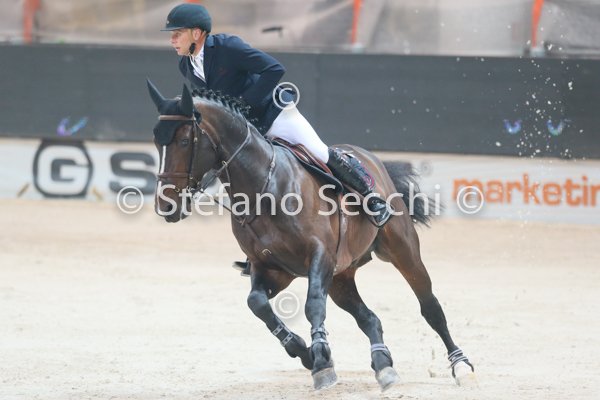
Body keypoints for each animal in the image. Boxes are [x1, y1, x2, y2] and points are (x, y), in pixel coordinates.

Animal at [147, 80, 476, 391]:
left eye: (185, 141)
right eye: (156, 140)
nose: (166, 205)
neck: (262, 188)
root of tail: (370, 158)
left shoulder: (319, 255)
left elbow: (312, 304)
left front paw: (321, 362)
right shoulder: (272, 269)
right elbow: (257, 303)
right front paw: (305, 353)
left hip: (401, 250)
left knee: (430, 306)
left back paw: (461, 366)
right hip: (341, 276)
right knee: (369, 318)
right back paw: (383, 365)